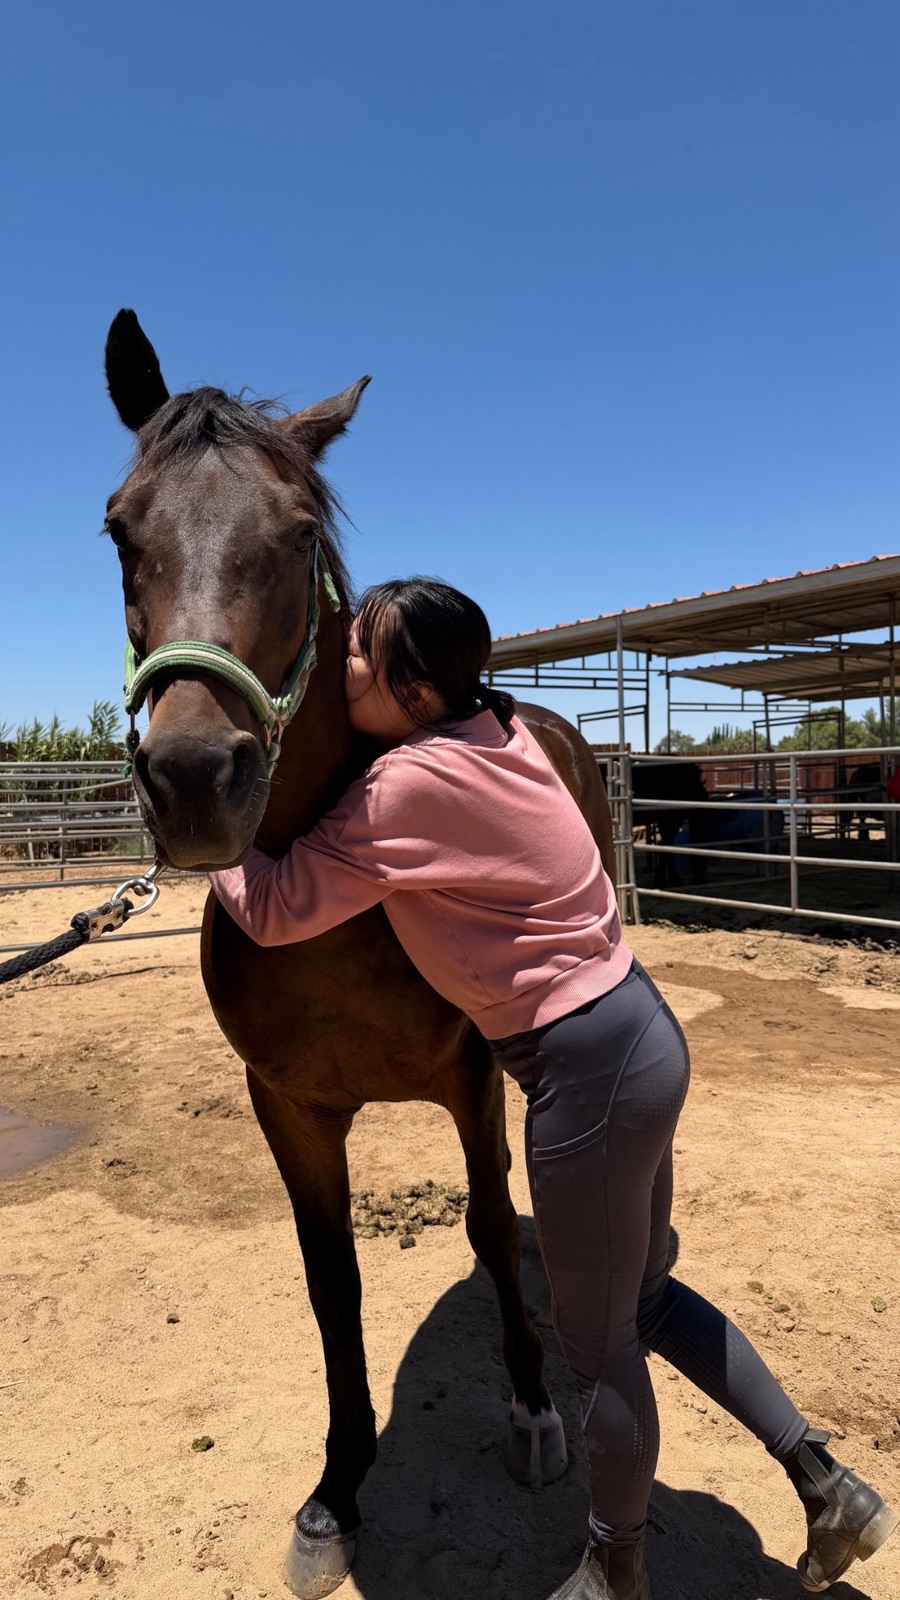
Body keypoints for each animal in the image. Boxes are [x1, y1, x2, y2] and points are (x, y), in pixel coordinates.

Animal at [102, 310, 617, 1597]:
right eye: (120, 527)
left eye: (295, 534)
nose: (196, 780)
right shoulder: (287, 1103)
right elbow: (329, 1276)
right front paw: (336, 1490)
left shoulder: (470, 1074)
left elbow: (486, 1219)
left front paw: (534, 1408)